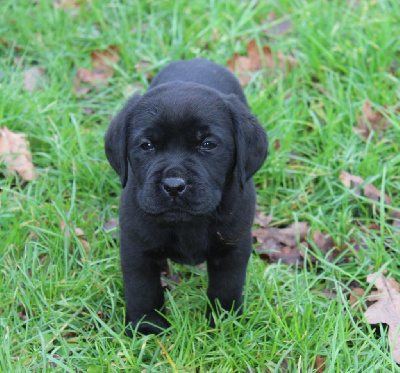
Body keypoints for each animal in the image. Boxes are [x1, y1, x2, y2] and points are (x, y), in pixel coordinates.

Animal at [106, 58, 268, 334]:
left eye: (207, 144)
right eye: (147, 145)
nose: (173, 185)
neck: (188, 223)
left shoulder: (234, 246)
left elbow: (226, 288)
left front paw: (223, 323)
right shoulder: (136, 247)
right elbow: (142, 290)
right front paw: (147, 327)